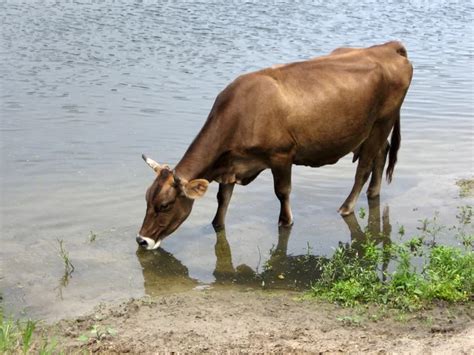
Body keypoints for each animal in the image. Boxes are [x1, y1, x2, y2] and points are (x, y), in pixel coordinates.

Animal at [136, 41, 412, 250]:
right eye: (147, 199)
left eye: (165, 205)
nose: (141, 240)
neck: (241, 113)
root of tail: (388, 47)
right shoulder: (231, 164)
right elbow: (223, 198)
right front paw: (216, 224)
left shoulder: (281, 156)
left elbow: (282, 191)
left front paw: (285, 222)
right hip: (375, 128)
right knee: (382, 153)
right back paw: (373, 194)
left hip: (382, 121)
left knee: (364, 167)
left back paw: (346, 207)